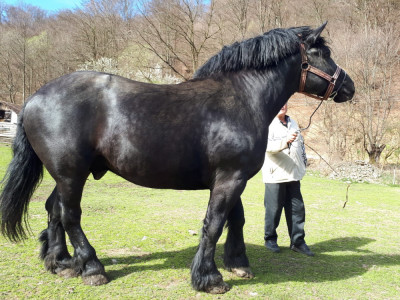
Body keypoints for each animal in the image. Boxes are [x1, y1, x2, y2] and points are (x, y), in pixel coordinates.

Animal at [2, 22, 354, 292]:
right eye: (323, 54)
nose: (349, 86)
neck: (240, 99)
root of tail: (35, 97)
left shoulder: (232, 178)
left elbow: (235, 219)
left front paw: (237, 263)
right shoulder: (229, 178)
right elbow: (214, 224)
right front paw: (209, 278)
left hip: (66, 174)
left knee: (54, 210)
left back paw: (61, 262)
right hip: (71, 174)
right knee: (70, 215)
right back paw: (92, 268)